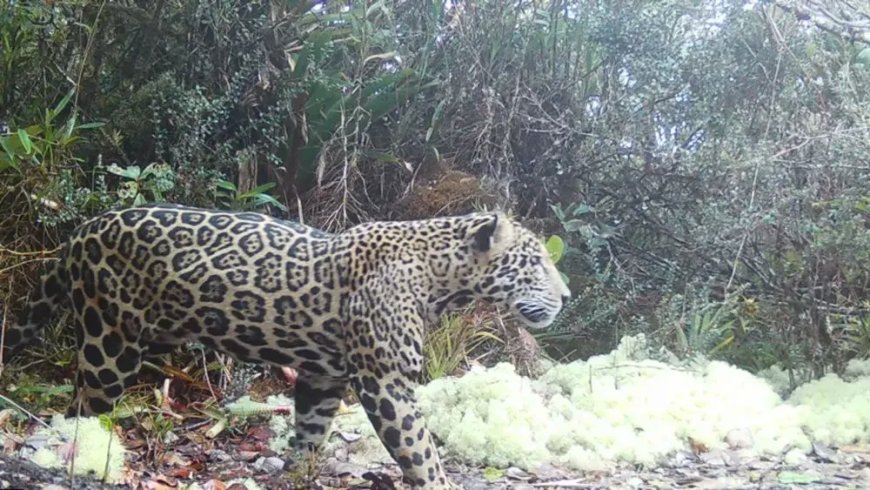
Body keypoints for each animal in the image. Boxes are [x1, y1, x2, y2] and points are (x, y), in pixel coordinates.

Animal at [1, 204, 571, 489]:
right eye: (536, 262)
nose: (566, 297)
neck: (442, 280)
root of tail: (81, 231)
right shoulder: (385, 381)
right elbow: (420, 449)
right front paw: (437, 483)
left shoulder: (324, 376)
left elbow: (311, 432)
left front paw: (298, 474)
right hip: (110, 342)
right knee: (82, 408)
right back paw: (83, 456)